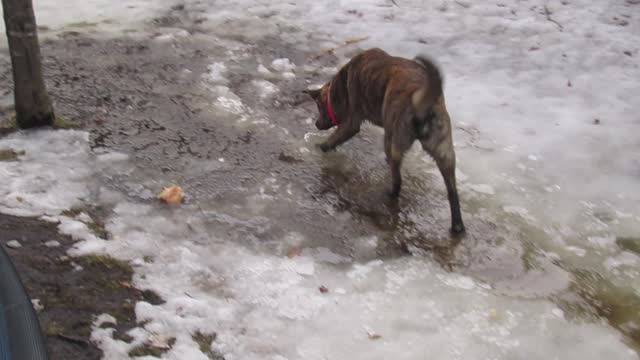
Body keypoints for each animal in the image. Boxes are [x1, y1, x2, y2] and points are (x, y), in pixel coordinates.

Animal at [304, 47, 464, 233]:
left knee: (398, 181)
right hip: (444, 151)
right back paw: (457, 225)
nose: (317, 124)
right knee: (452, 191)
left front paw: (319, 147)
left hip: (392, 139)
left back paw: (388, 195)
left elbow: (331, 141)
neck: (341, 83)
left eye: (319, 106)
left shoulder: (351, 123)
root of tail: (422, 103)